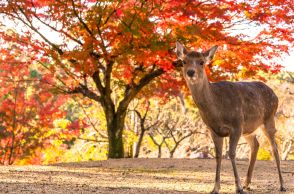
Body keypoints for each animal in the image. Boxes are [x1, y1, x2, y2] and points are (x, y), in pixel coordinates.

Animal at [175, 41, 284, 193]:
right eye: (184, 61)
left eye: (201, 62)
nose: (191, 72)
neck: (217, 111)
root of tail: (275, 95)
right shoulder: (214, 130)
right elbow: (218, 155)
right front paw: (215, 188)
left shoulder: (236, 124)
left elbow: (231, 153)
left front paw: (238, 187)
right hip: (248, 128)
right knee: (256, 144)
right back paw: (247, 183)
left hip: (269, 118)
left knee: (275, 148)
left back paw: (281, 185)